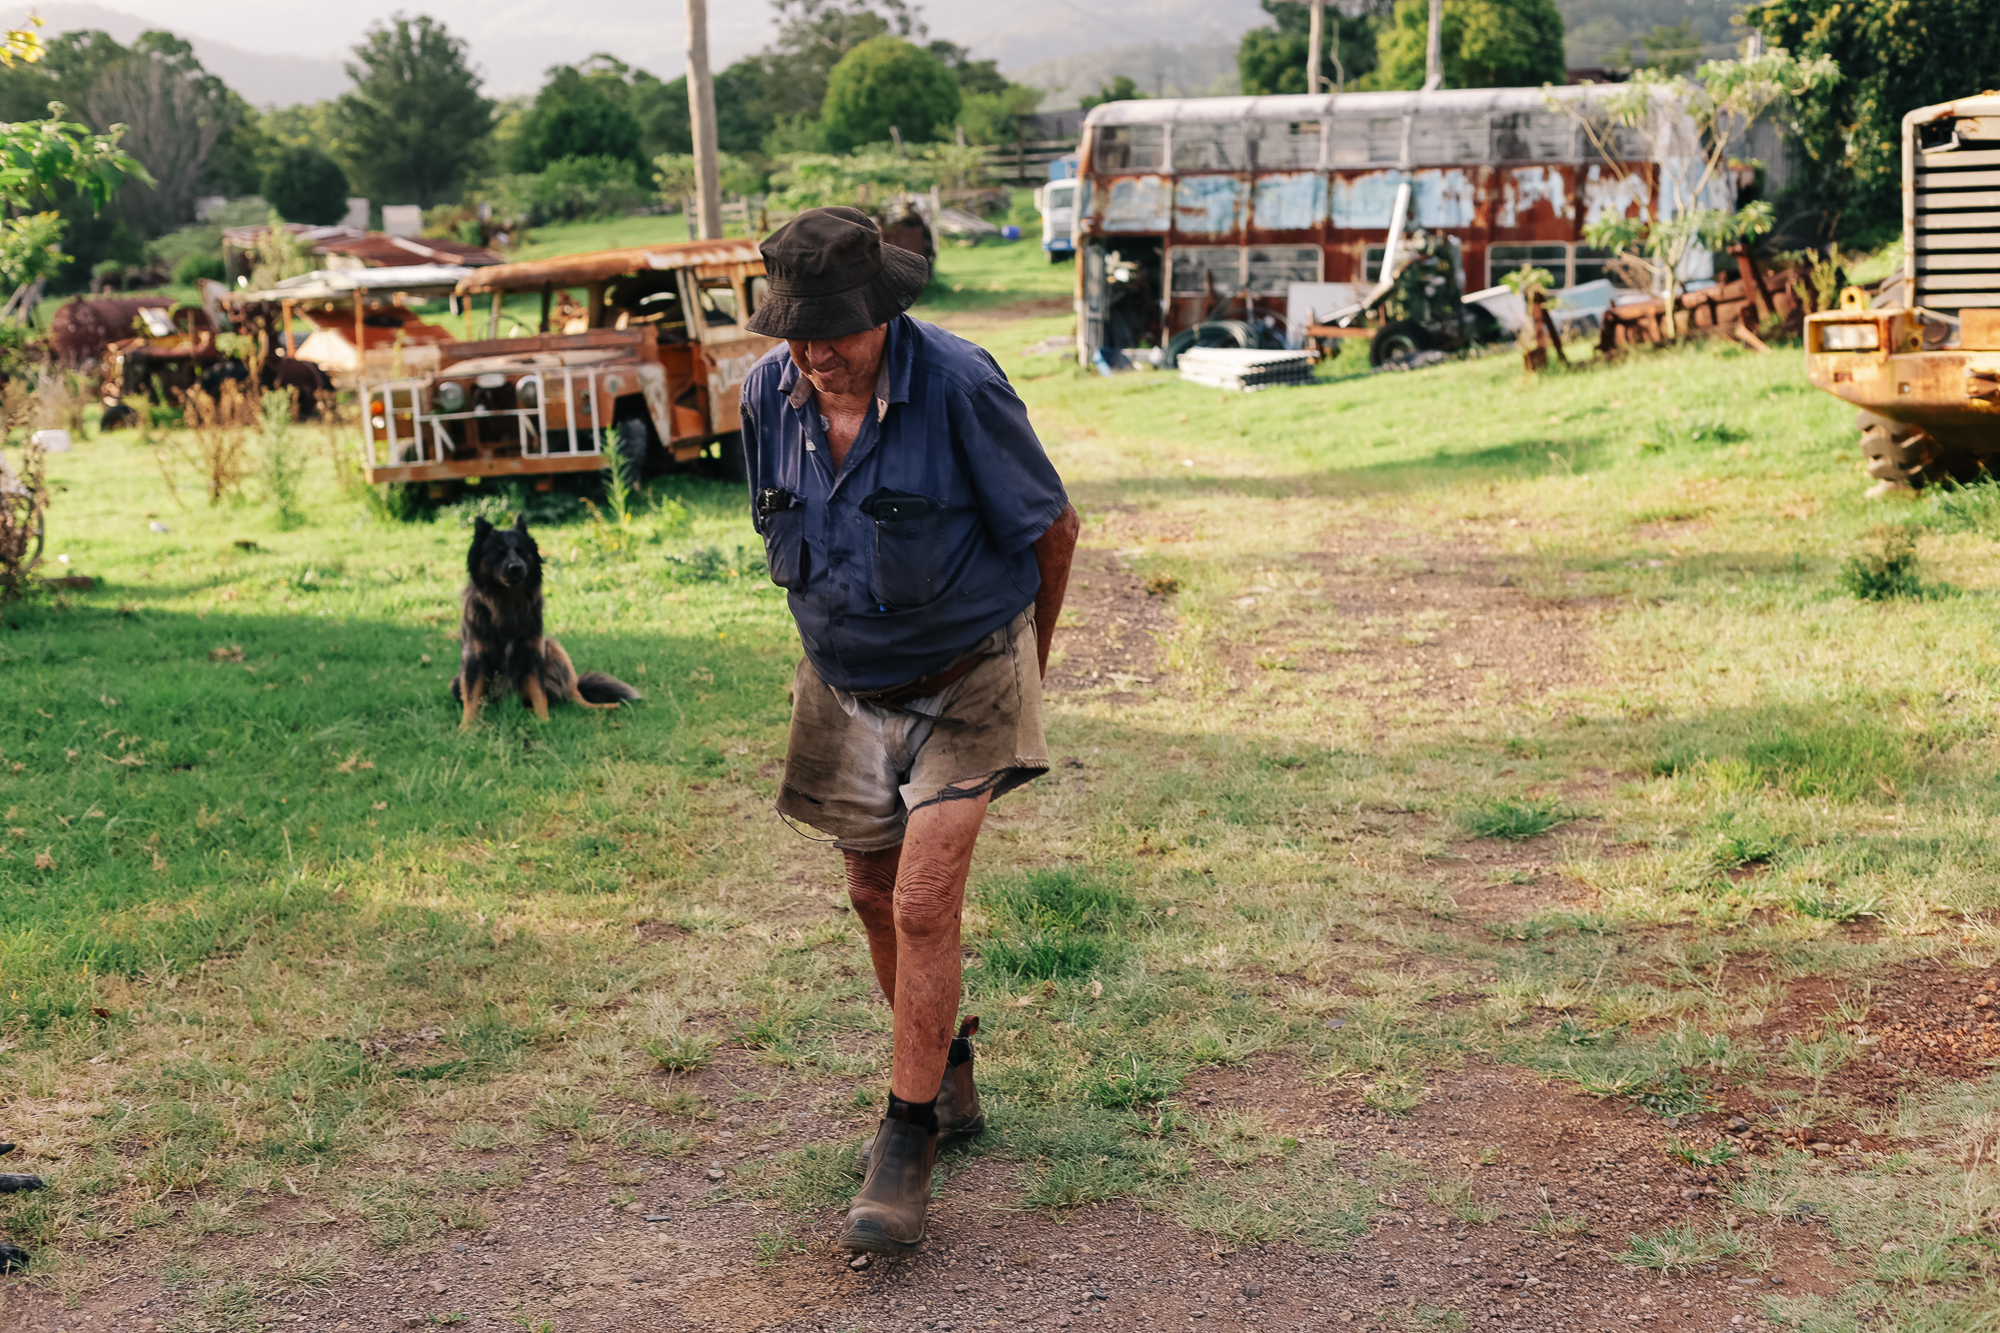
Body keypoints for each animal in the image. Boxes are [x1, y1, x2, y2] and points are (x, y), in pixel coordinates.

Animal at [451, 515, 641, 730]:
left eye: (521, 551)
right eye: (498, 553)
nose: (516, 567)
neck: (507, 603)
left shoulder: (534, 654)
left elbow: (539, 694)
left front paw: (544, 722)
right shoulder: (473, 660)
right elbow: (471, 697)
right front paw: (466, 728)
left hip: (554, 649)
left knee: (574, 694)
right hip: (457, 682)